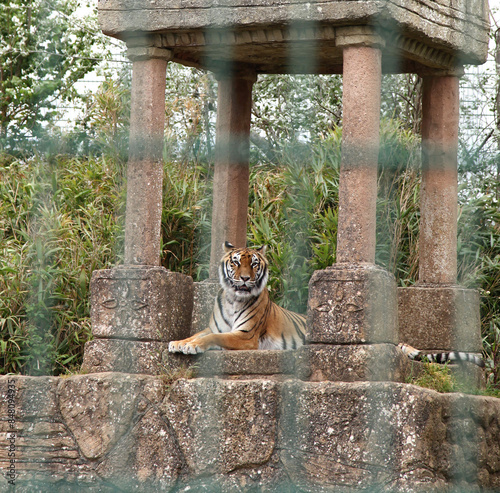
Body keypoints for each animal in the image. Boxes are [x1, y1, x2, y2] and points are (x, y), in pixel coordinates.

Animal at [168, 239, 306, 352]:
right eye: (236, 262)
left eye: (254, 264)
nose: (245, 278)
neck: (233, 300)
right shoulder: (214, 328)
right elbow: (197, 334)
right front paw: (178, 343)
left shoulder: (246, 335)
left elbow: (215, 337)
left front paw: (193, 345)